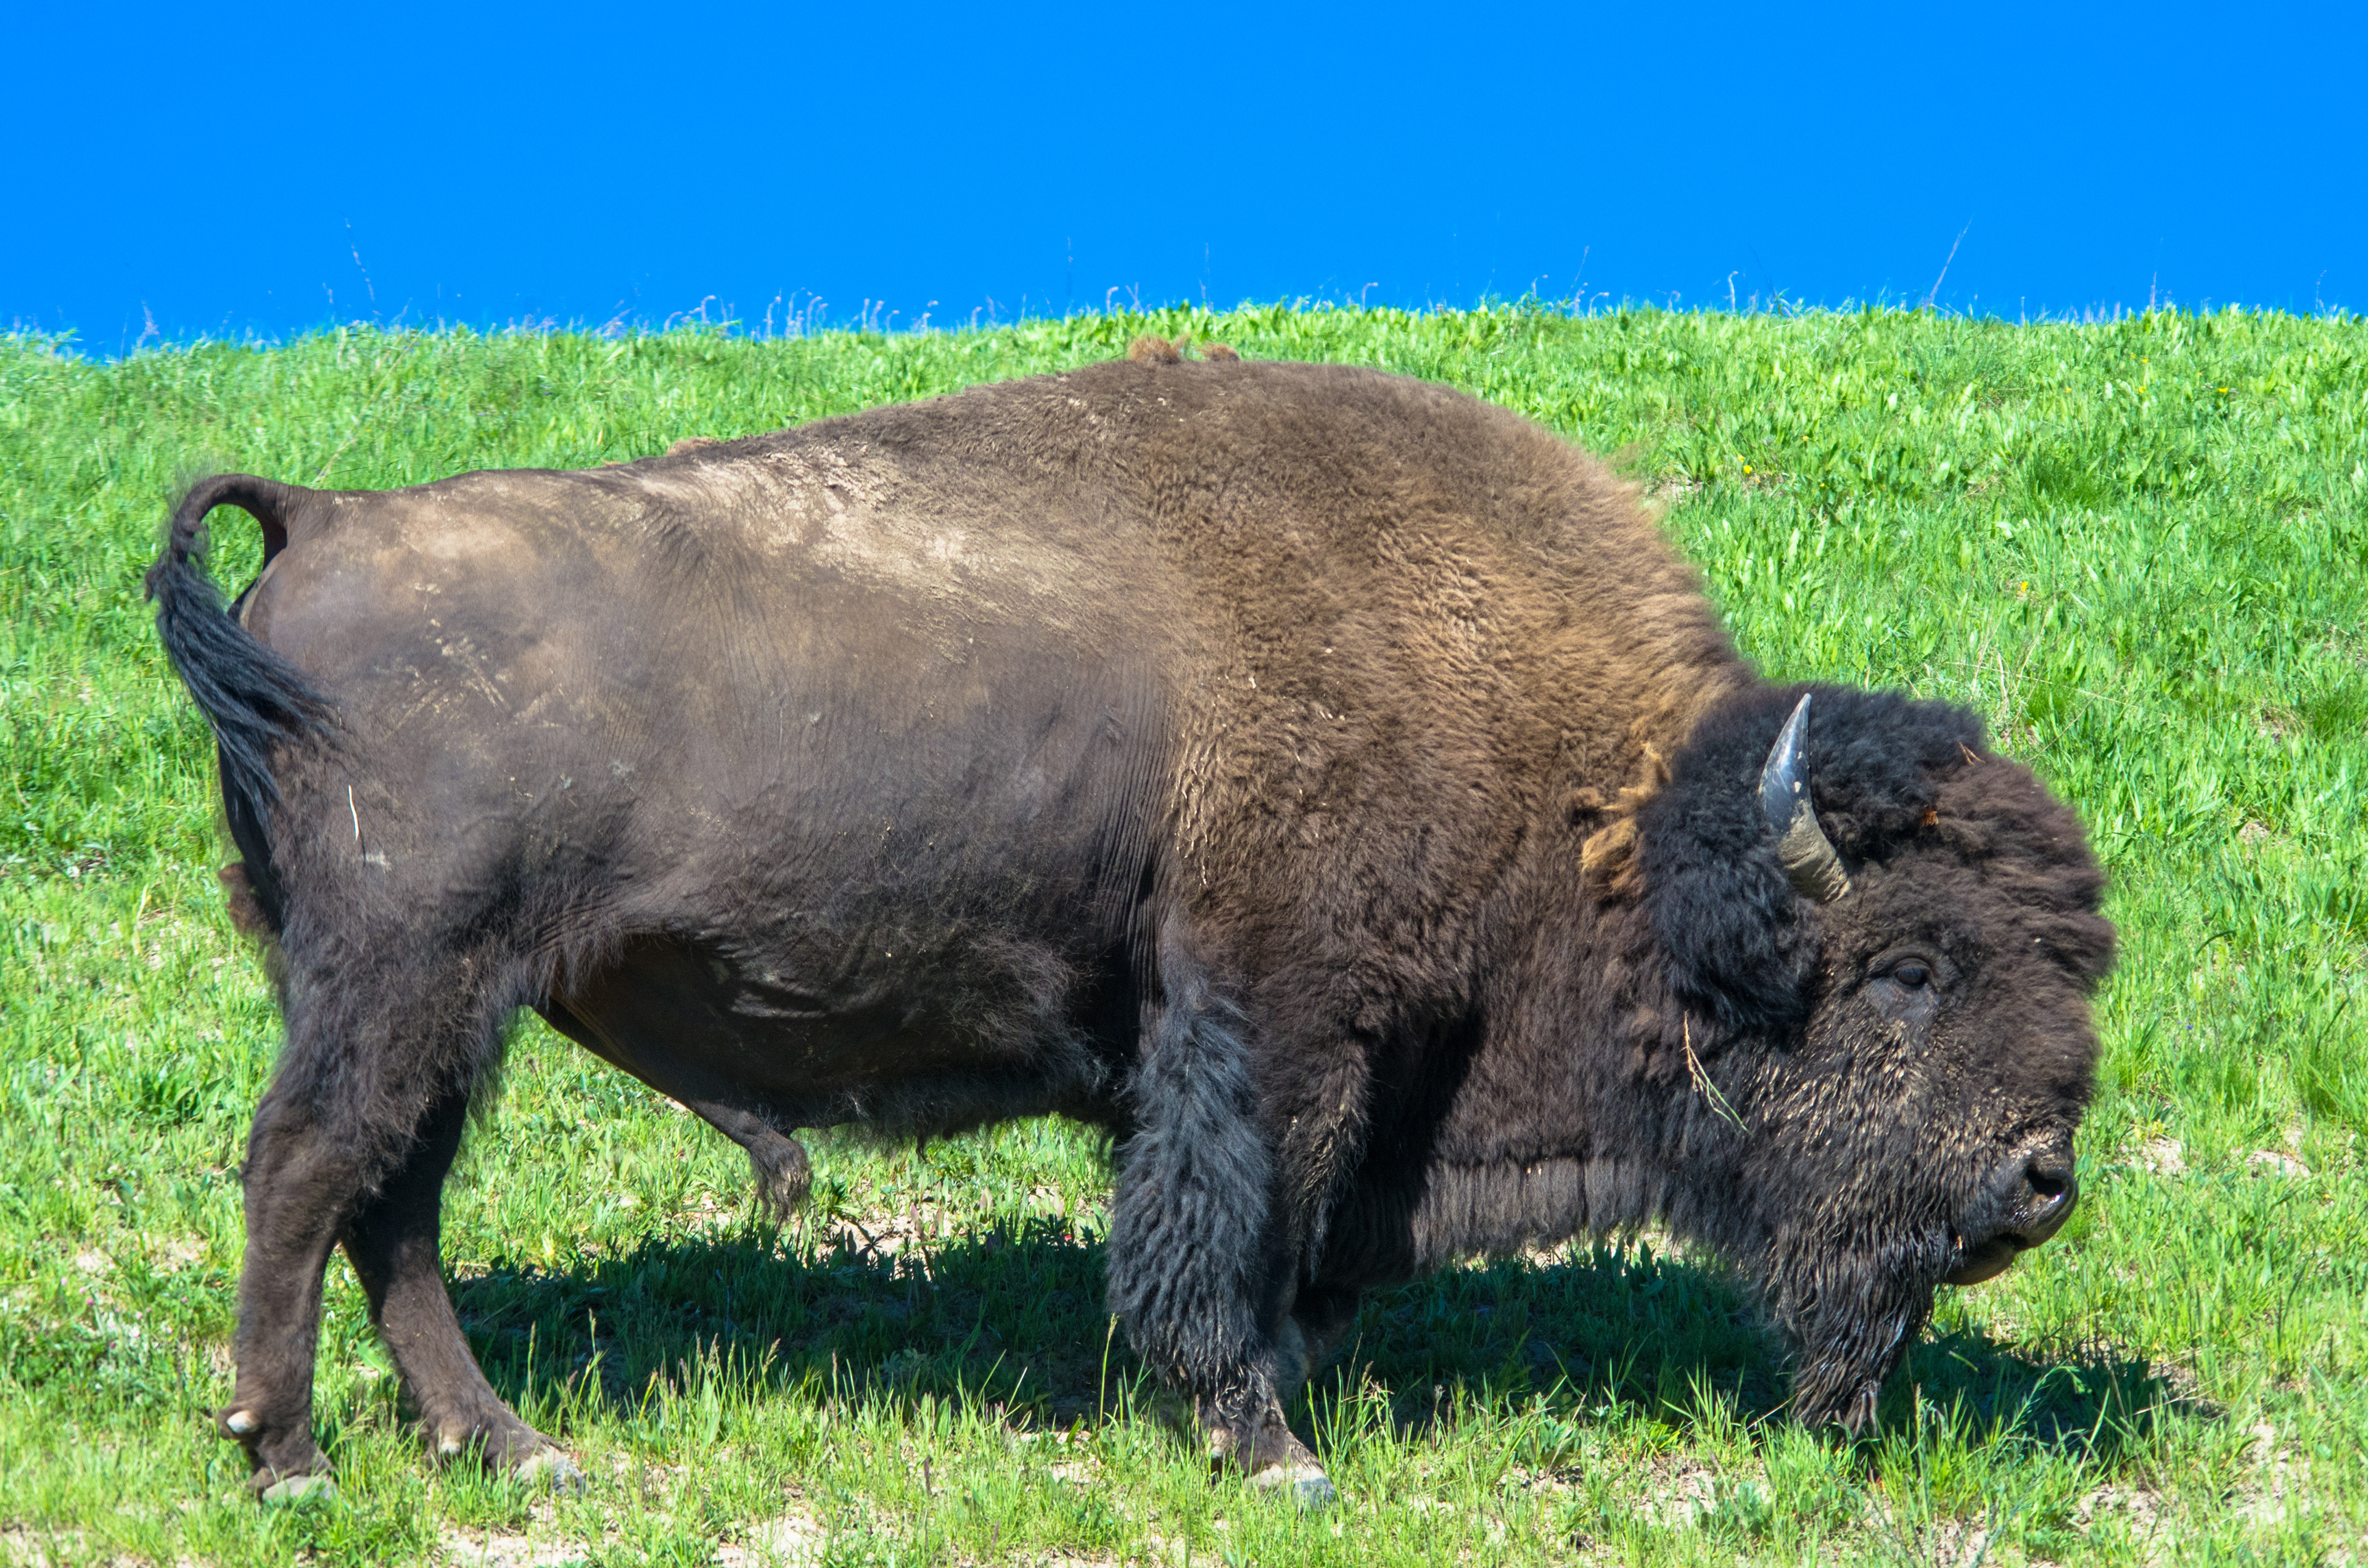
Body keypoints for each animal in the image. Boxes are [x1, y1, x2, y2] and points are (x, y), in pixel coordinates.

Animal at [150, 342, 2113, 1505]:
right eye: (1907, 969)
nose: (2039, 1178)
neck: (1601, 807)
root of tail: (322, 521)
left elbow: (1306, 1241)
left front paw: (1293, 1397)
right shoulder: (1272, 1025)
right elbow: (1230, 1229)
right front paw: (1269, 1445)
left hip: (453, 1009)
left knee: (392, 1207)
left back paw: (509, 1447)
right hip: (402, 983)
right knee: (312, 1174)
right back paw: (292, 1457)